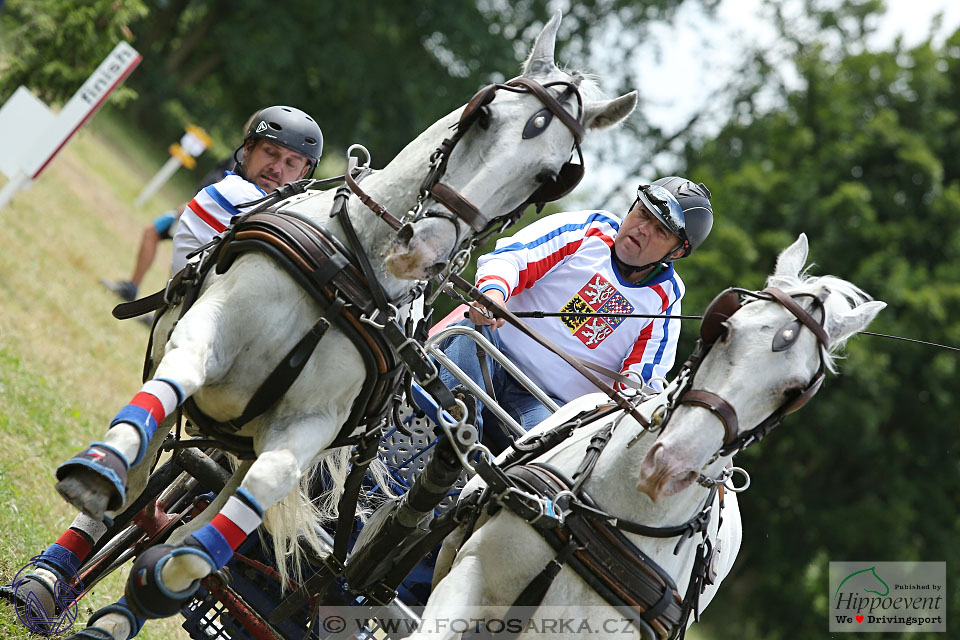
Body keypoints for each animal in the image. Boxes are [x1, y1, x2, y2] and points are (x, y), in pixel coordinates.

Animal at [41, 12, 640, 640]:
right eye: (484, 115)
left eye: (548, 176)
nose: (421, 251)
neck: (351, 272)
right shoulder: (210, 328)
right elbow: (173, 381)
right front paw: (96, 470)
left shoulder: (311, 424)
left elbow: (260, 490)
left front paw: (177, 572)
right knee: (136, 492)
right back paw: (46, 583)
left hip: (243, 449)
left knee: (188, 515)